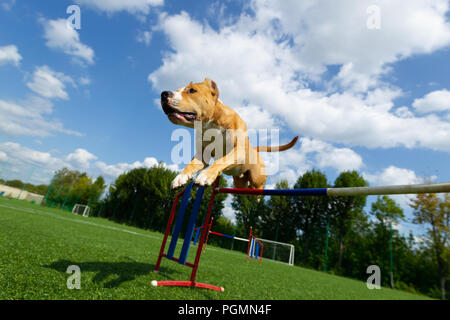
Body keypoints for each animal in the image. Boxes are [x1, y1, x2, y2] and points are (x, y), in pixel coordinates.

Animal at [160, 78, 298, 190]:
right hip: (240, 182)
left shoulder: (238, 151)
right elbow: (191, 165)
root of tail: (254, 150)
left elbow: (221, 161)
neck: (210, 125)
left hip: (256, 178)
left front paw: (205, 175)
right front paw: (180, 177)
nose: (163, 94)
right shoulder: (202, 156)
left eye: (192, 90)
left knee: (258, 188)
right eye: (177, 90)